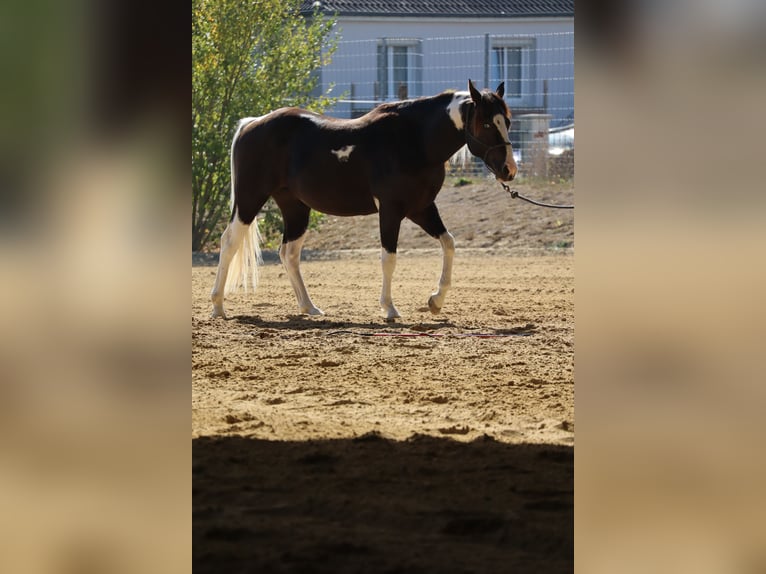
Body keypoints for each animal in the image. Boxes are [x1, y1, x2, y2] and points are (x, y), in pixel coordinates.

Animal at [210, 79, 517, 320]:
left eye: (507, 121)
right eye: (486, 122)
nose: (509, 170)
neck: (415, 140)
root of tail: (251, 124)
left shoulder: (421, 208)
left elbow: (449, 243)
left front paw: (435, 301)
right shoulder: (391, 210)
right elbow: (388, 258)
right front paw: (389, 308)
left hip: (296, 208)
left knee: (289, 253)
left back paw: (309, 307)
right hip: (249, 200)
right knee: (230, 242)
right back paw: (218, 307)